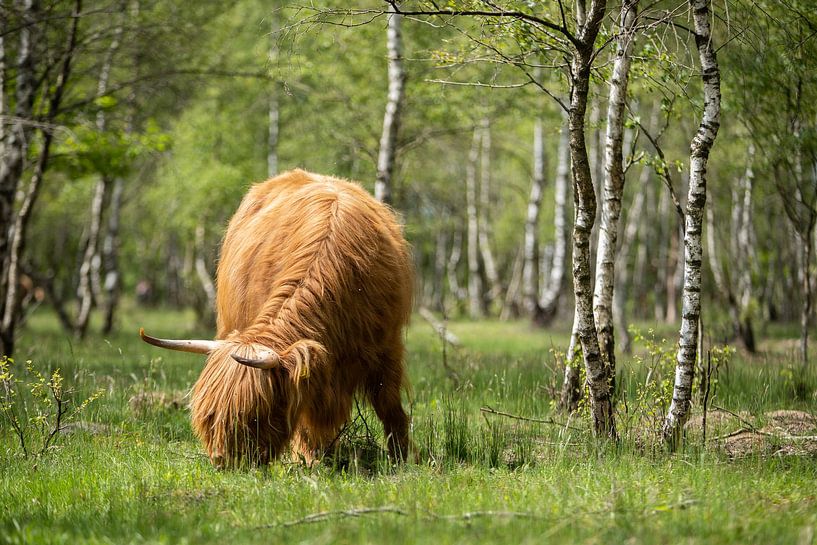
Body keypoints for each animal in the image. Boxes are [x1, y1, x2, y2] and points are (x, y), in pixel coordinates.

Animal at [139, 168, 414, 466]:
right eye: (209, 417)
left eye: (254, 417)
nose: (223, 461)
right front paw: (308, 458)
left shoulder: (386, 347)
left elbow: (389, 405)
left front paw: (403, 457)